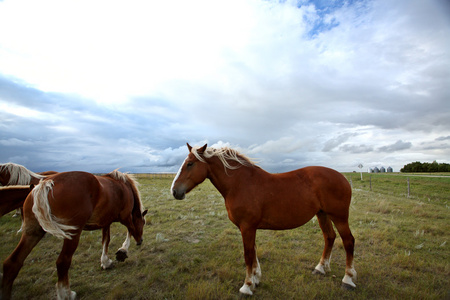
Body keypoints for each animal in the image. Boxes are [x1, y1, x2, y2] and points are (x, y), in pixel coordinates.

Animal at [2, 170, 149, 298]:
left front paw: (106, 262)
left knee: (12, 264)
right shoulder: (125, 217)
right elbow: (130, 231)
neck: (124, 187)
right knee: (62, 262)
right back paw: (66, 294)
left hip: (32, 233)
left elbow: (105, 240)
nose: (141, 241)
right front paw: (122, 251)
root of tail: (46, 184)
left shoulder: (105, 222)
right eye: (143, 222)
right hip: (72, 234)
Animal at [172, 144, 358, 296]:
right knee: (329, 237)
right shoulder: (249, 228)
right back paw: (320, 268)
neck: (240, 184)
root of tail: (342, 177)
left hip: (339, 217)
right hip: (322, 214)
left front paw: (246, 287)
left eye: (190, 164)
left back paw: (348, 279)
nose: (174, 191)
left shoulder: (247, 227)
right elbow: (253, 252)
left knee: (348, 241)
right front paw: (255, 279)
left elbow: (248, 254)